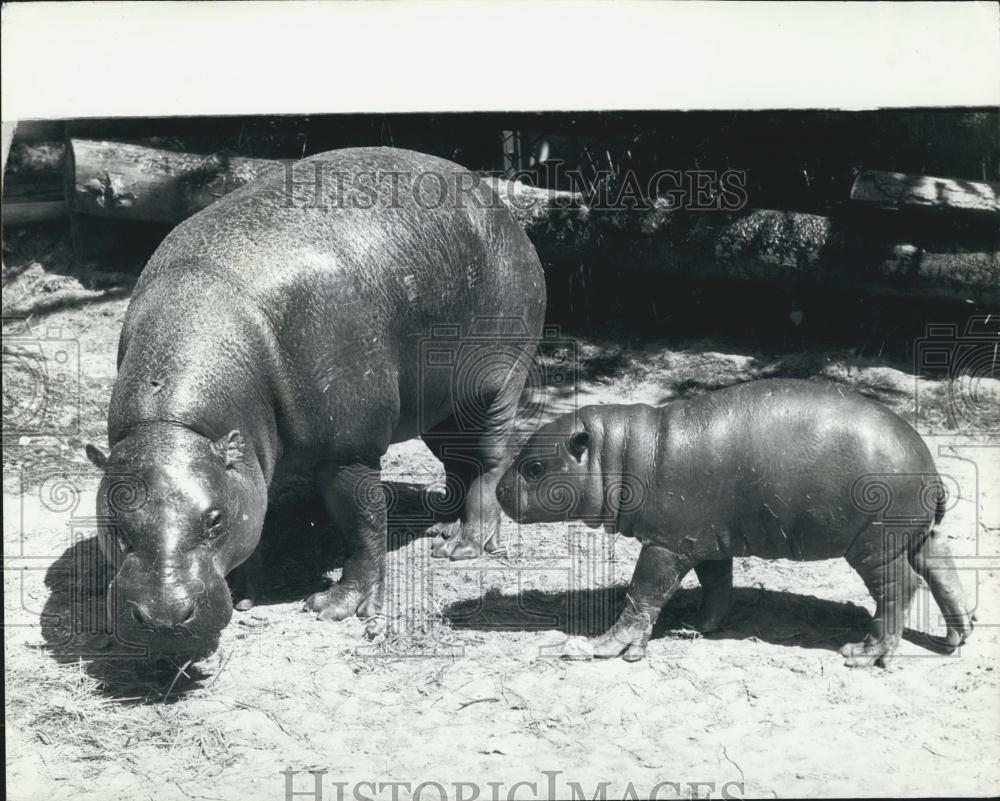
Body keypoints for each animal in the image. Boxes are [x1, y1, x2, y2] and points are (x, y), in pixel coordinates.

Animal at [85, 147, 546, 658]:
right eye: (114, 523)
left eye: (214, 520)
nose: (163, 620)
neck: (175, 425)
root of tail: (499, 205)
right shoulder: (247, 463)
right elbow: (257, 512)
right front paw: (245, 594)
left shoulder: (349, 449)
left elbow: (363, 524)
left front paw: (336, 608)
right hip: (436, 405)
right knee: (456, 459)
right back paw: (443, 529)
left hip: (495, 383)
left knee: (488, 461)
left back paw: (463, 547)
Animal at [497, 379, 974, 668]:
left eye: (534, 467)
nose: (498, 490)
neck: (623, 453)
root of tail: (930, 469)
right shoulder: (704, 540)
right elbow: (716, 585)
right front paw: (698, 627)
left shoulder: (667, 543)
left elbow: (643, 592)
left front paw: (605, 649)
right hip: (918, 533)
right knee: (942, 570)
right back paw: (957, 636)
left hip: (875, 544)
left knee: (901, 586)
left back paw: (865, 654)